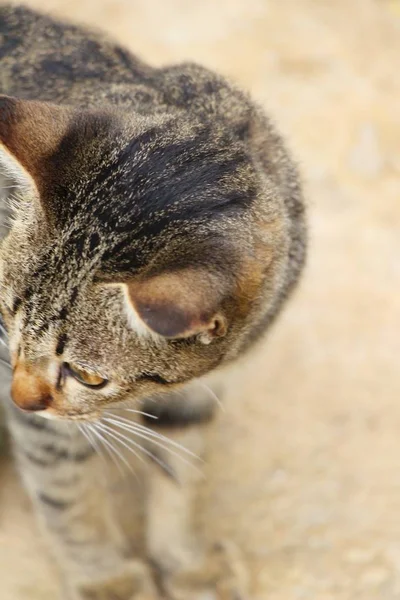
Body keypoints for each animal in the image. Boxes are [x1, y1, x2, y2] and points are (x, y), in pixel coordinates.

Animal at [0, 4, 306, 600]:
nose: (19, 398)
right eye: (4, 313)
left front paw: (187, 565)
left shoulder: (198, 393)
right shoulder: (39, 418)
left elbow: (181, 476)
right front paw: (108, 580)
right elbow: (69, 494)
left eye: (88, 376)